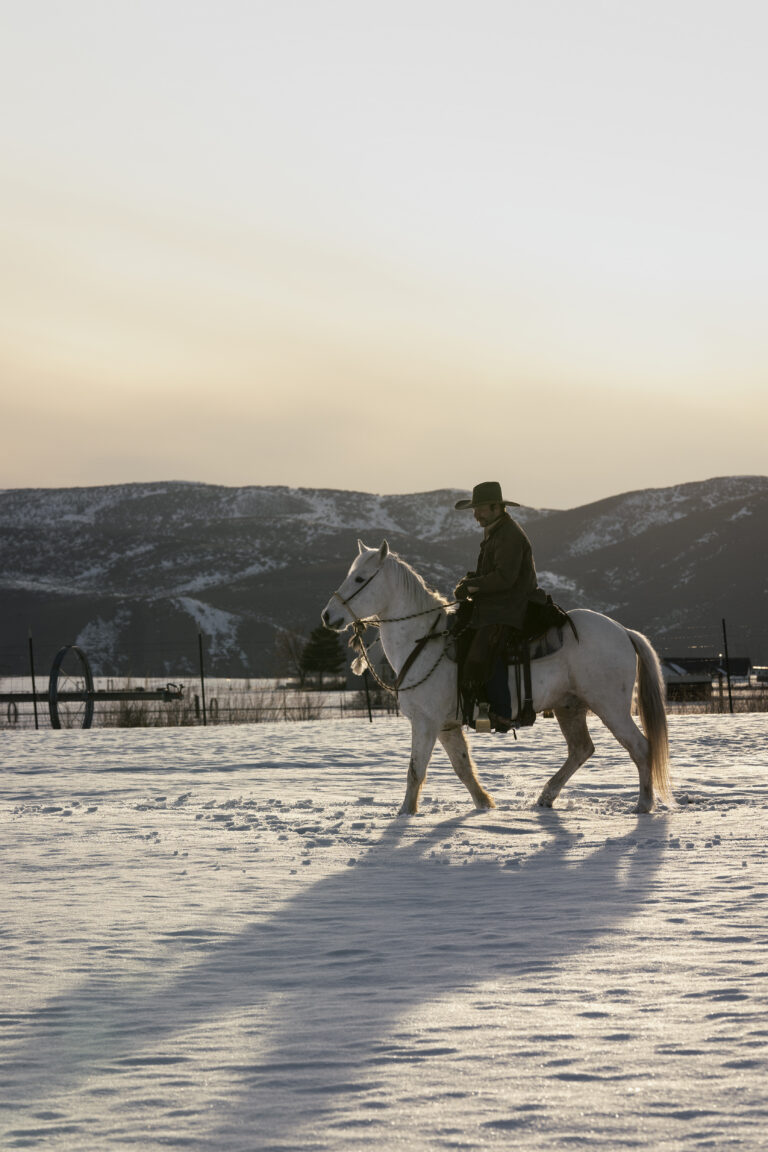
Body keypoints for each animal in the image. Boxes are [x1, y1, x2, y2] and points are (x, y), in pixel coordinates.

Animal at [322, 540, 672, 816]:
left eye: (360, 578)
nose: (327, 615)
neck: (423, 641)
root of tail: (623, 631)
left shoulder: (425, 722)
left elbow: (415, 771)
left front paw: (404, 815)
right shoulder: (446, 726)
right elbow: (463, 768)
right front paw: (485, 804)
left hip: (610, 707)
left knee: (640, 747)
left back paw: (643, 805)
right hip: (570, 707)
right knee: (581, 750)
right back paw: (545, 797)